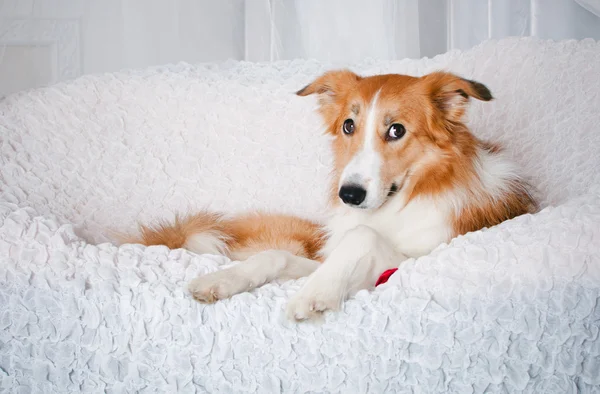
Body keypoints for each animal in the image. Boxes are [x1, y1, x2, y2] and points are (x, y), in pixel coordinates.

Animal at [134, 71, 536, 322]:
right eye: (348, 125)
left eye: (397, 130)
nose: (349, 195)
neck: (398, 202)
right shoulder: (328, 260)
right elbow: (275, 256)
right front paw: (223, 280)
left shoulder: (411, 262)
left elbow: (361, 236)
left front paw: (314, 294)